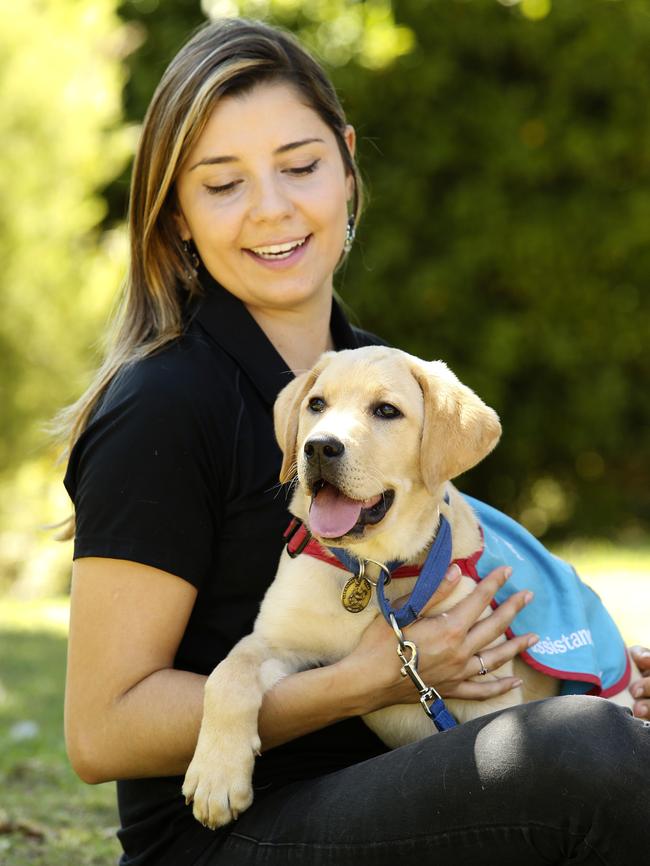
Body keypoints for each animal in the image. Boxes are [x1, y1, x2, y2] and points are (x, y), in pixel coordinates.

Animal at [184, 342, 636, 824]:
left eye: (386, 410)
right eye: (316, 405)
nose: (319, 446)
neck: (370, 568)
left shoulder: (486, 695)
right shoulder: (273, 640)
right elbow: (226, 674)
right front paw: (216, 776)